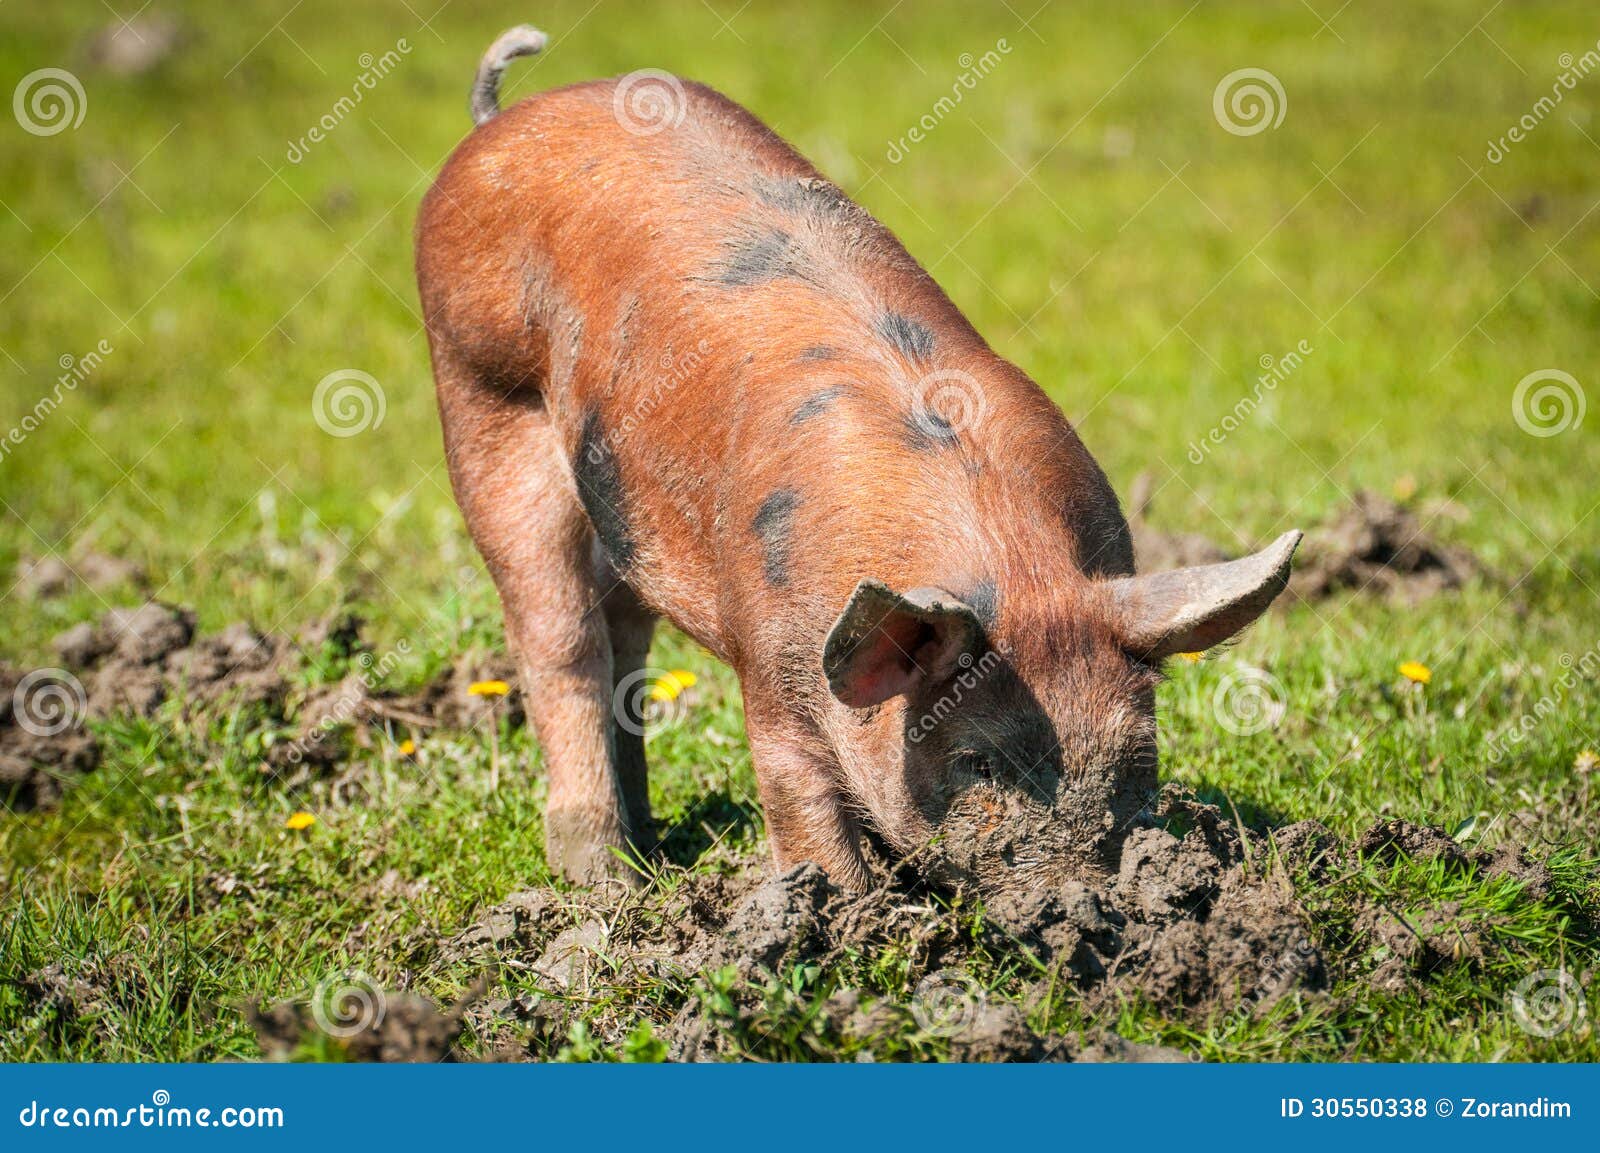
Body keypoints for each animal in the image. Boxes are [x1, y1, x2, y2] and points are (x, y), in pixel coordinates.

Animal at [414, 25, 1301, 895]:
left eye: (1135, 759)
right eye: (975, 762)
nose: (1078, 896)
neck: (1011, 560)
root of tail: (498, 121)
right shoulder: (771, 663)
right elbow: (804, 812)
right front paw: (839, 910)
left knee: (623, 641)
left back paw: (654, 853)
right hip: (483, 403)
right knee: (559, 641)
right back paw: (607, 883)